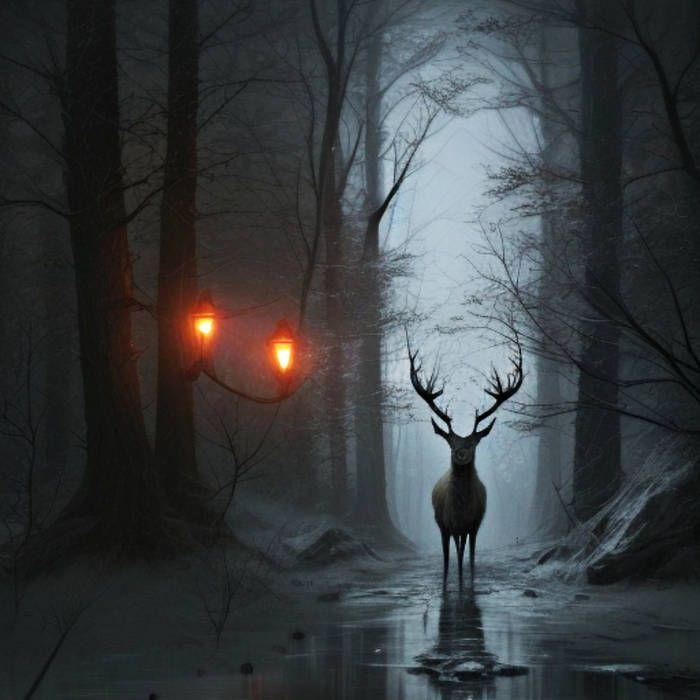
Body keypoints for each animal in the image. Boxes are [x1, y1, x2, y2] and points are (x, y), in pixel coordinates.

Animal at [407, 333, 523, 585]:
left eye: (473, 443)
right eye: (450, 443)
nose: (461, 454)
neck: (460, 510)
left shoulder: (474, 524)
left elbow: (468, 556)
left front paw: (466, 579)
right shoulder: (445, 524)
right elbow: (448, 558)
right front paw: (449, 579)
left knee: (465, 553)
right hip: (444, 524)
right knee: (452, 553)